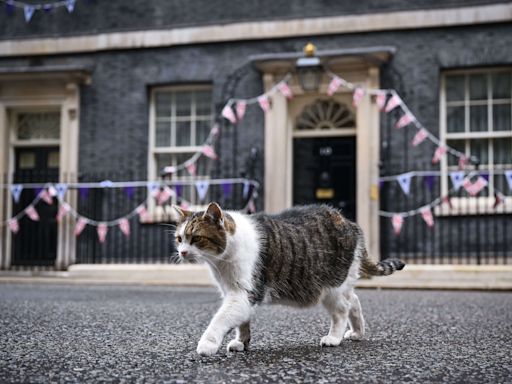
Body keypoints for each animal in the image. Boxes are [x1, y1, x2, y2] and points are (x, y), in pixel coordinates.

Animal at [174, 202, 406, 356]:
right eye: (179, 239)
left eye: (196, 238)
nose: (182, 252)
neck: (222, 262)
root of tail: (349, 223)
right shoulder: (235, 293)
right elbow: (242, 323)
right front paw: (241, 342)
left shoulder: (244, 293)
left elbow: (221, 319)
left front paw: (207, 344)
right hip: (342, 284)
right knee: (354, 301)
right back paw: (357, 332)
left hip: (332, 288)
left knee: (342, 310)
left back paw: (334, 338)